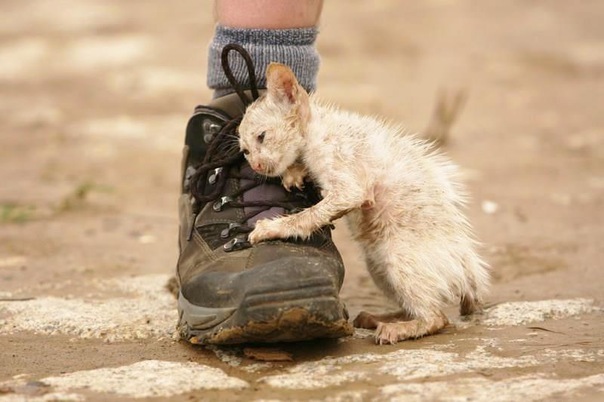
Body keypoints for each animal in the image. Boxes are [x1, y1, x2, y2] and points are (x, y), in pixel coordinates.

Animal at [237, 63, 490, 346]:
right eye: (245, 151)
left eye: (262, 136)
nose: (257, 165)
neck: (317, 129)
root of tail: (468, 273)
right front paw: (294, 173)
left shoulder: (347, 183)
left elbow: (309, 215)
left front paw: (270, 228)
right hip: (378, 266)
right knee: (418, 306)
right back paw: (379, 318)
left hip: (399, 257)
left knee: (436, 318)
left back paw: (397, 329)